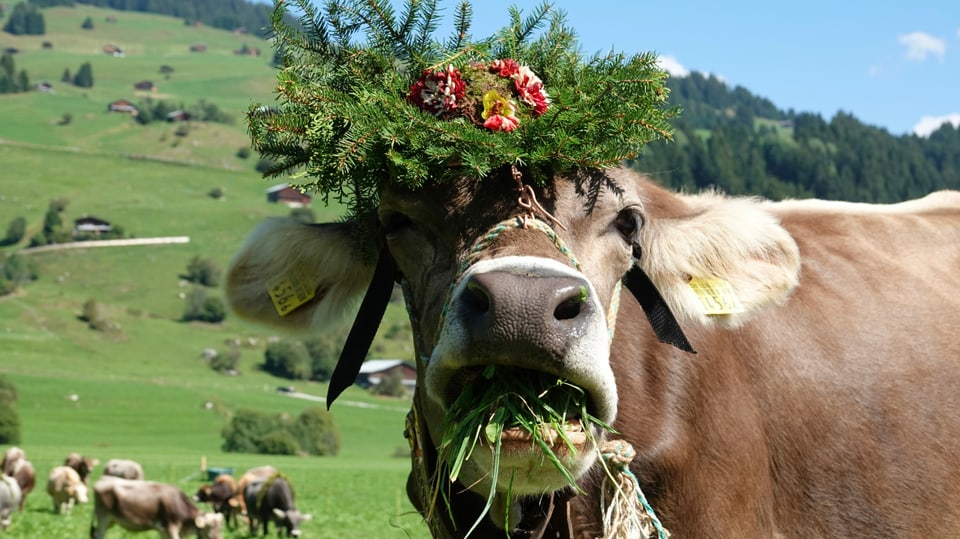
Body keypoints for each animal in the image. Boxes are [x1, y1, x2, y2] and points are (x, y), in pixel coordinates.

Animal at [91, 476, 224, 539]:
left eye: (220, 527)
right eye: (209, 527)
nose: (219, 538)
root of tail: (103, 479)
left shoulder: (163, 530)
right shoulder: (171, 527)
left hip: (111, 520)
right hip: (103, 517)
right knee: (98, 535)